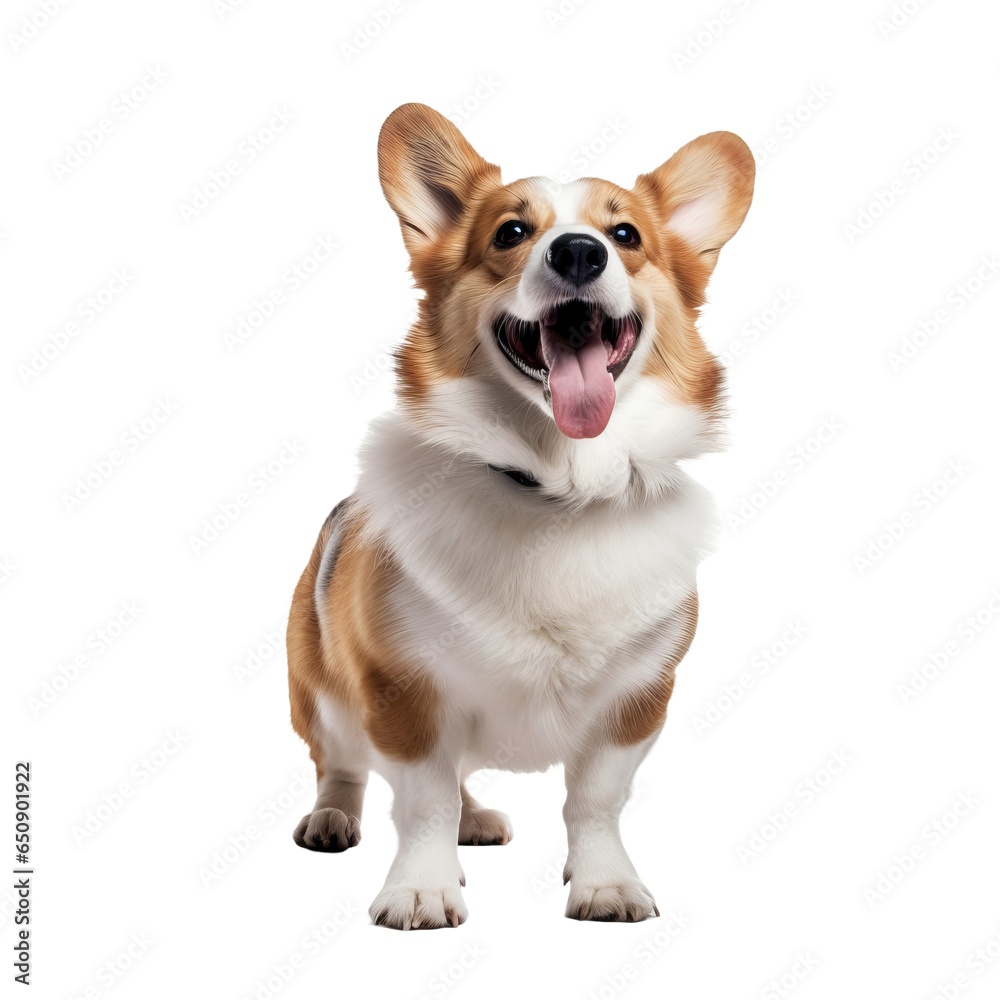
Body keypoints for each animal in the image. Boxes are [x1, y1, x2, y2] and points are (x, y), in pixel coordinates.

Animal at [286, 103, 752, 928]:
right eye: (510, 233)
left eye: (625, 234)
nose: (578, 252)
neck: (557, 489)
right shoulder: (402, 693)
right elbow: (422, 800)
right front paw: (420, 888)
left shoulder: (637, 700)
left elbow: (596, 801)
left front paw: (605, 883)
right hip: (320, 692)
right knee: (342, 764)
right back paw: (334, 817)